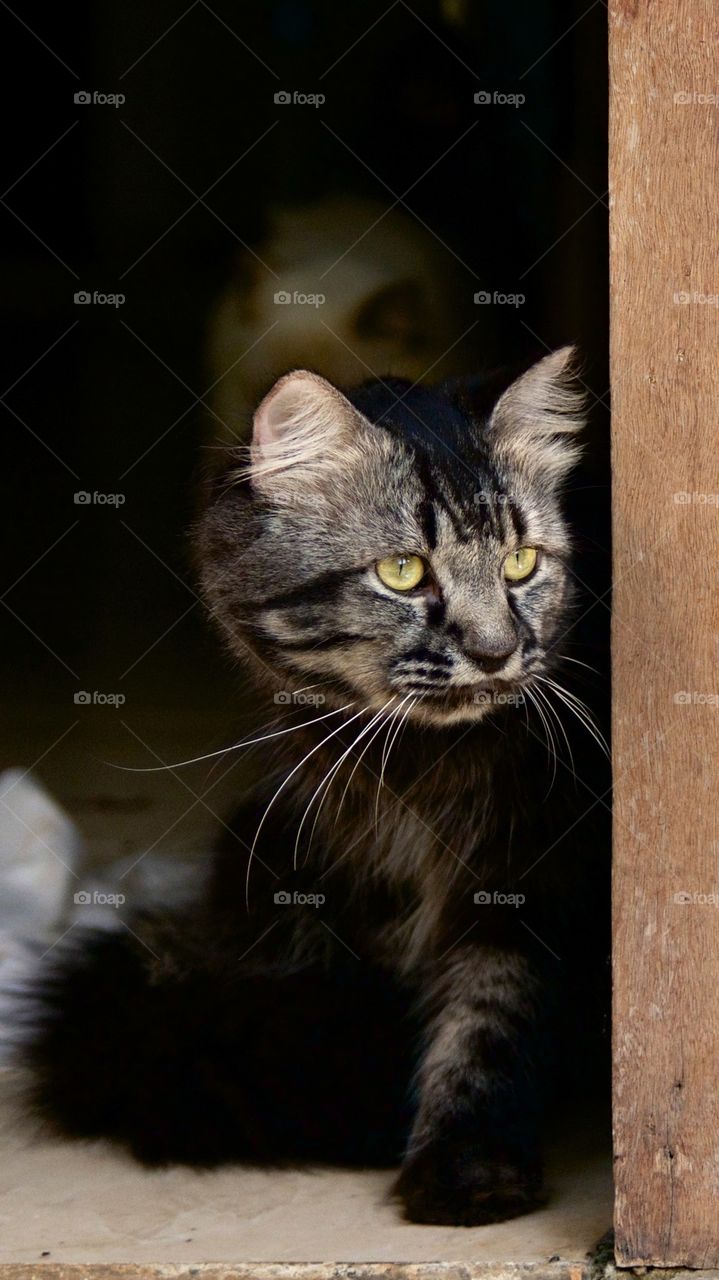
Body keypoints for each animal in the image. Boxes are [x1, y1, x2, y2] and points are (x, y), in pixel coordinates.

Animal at [22, 345, 606, 1223]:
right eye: (402, 573)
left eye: (520, 563)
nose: (497, 652)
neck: (413, 772)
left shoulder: (529, 867)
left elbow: (489, 1008)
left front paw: (465, 1164)